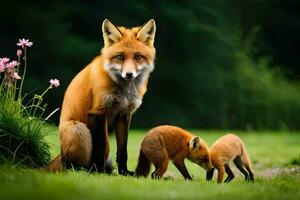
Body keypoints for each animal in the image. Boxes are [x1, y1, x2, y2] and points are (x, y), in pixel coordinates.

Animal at [46, 18, 157, 175]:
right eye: (120, 57)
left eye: (138, 57)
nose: (129, 74)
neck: (124, 92)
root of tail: (60, 156)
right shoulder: (98, 112)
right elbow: (100, 147)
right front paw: (98, 171)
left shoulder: (124, 115)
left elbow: (123, 151)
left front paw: (124, 172)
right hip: (79, 129)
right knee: (72, 166)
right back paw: (87, 170)